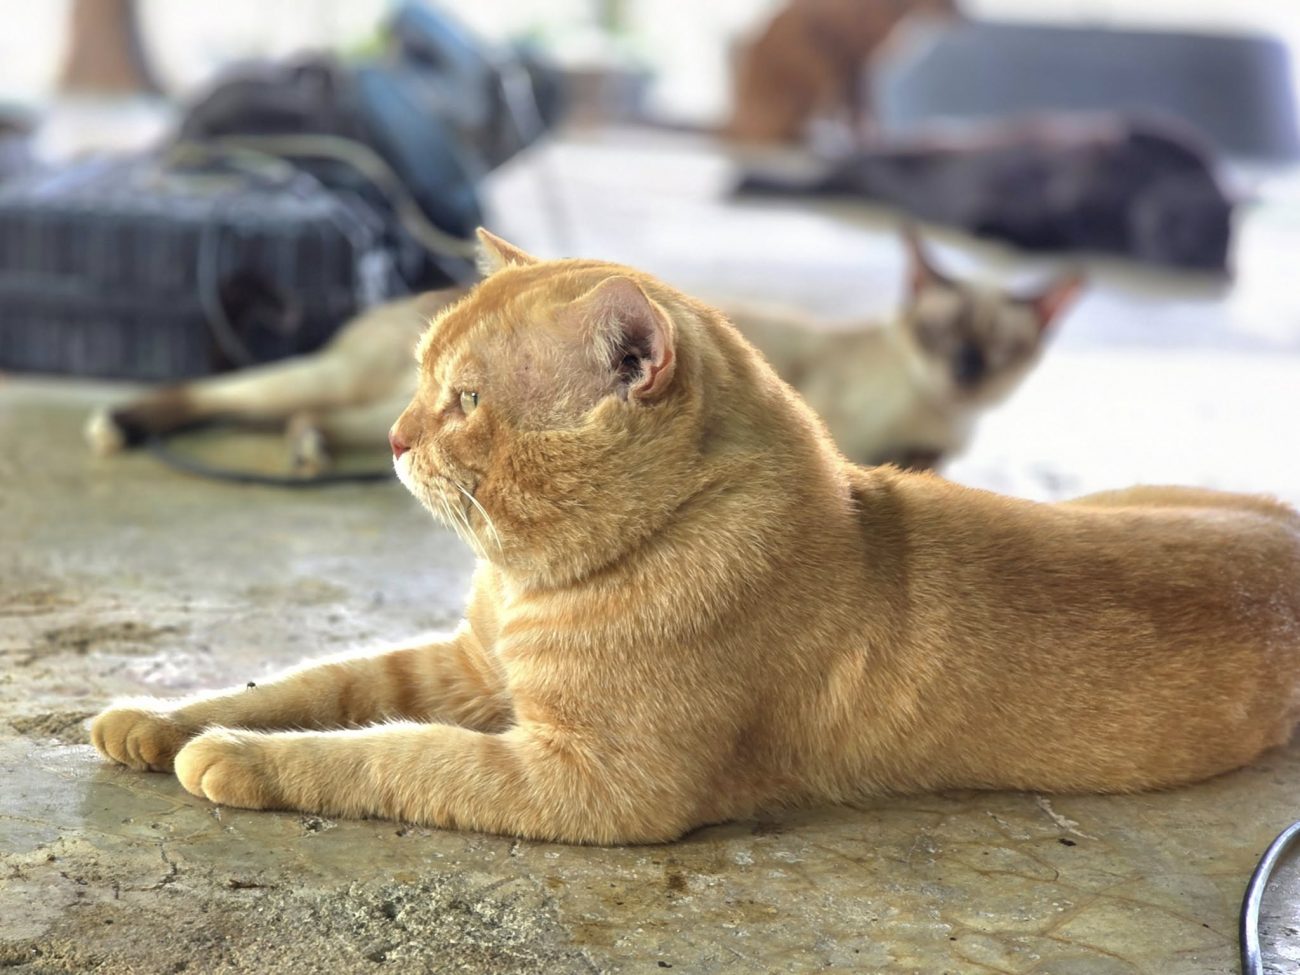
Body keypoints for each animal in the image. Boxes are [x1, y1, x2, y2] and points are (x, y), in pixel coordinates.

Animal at [723, 228, 1081, 469]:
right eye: (939, 333)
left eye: (999, 348)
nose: (963, 373)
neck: (947, 421)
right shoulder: (844, 435)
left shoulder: (926, 457)